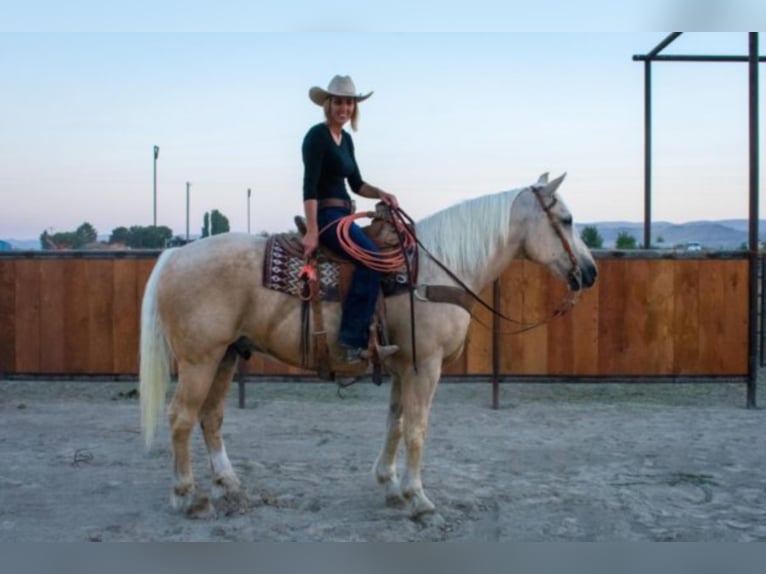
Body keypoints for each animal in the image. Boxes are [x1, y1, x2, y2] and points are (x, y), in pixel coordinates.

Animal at [142, 173, 600, 520]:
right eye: (567, 219)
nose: (591, 272)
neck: (430, 273)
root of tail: (174, 256)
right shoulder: (426, 366)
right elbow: (417, 427)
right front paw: (418, 497)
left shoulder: (402, 367)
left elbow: (394, 423)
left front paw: (390, 486)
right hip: (199, 360)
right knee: (181, 418)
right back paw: (187, 496)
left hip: (227, 355)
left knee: (211, 417)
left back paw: (229, 486)